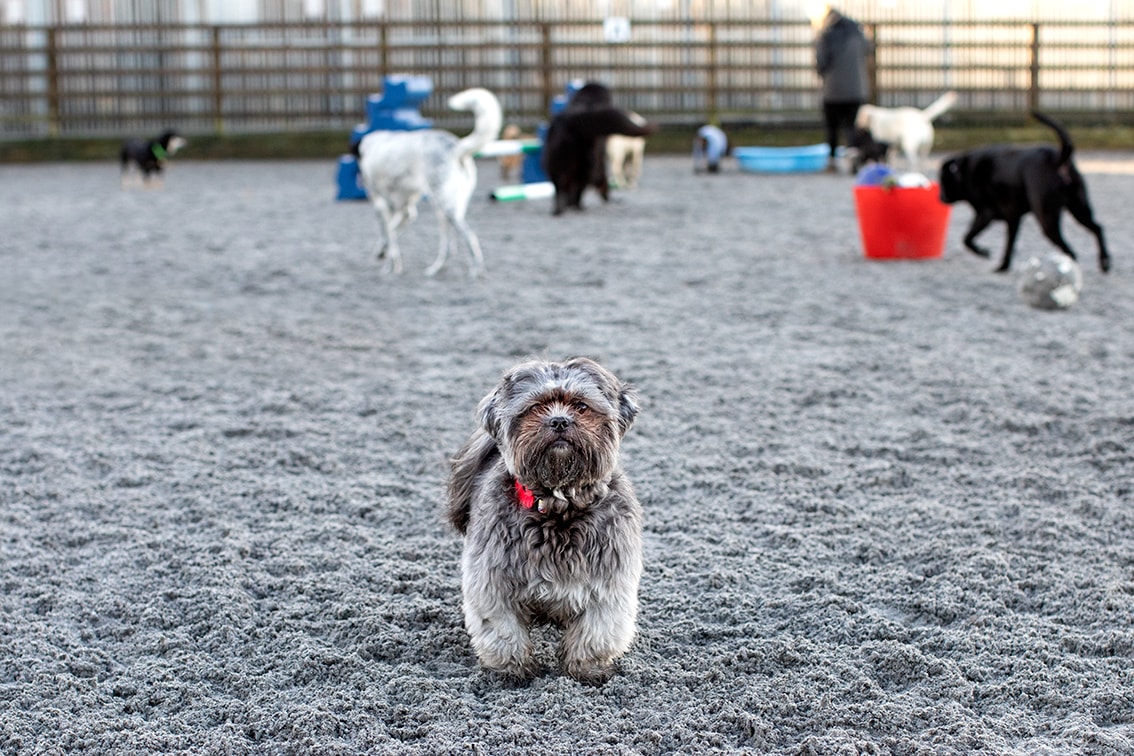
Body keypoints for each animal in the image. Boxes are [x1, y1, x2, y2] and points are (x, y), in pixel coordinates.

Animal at [351, 87, 498, 277]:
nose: (360, 180)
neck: (372, 147)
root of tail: (455, 147)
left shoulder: (383, 205)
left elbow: (389, 233)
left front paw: (390, 265)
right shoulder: (405, 210)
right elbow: (391, 232)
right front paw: (384, 253)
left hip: (447, 208)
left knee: (470, 237)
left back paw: (474, 271)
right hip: (443, 208)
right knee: (448, 246)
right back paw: (436, 268)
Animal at [446, 360, 644, 684]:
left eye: (581, 405)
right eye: (535, 406)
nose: (560, 421)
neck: (558, 506)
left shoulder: (608, 583)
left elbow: (596, 631)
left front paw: (588, 670)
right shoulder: (493, 582)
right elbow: (503, 630)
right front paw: (511, 670)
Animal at [542, 82, 657, 215]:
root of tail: (571, 121)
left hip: (556, 162)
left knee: (560, 186)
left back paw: (560, 209)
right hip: (587, 164)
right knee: (578, 186)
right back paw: (577, 206)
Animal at [934, 112, 1111, 275]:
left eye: (942, 180)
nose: (940, 198)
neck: (963, 172)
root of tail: (1057, 158)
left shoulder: (986, 214)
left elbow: (967, 238)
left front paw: (983, 252)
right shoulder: (1013, 218)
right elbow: (1009, 244)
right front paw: (1003, 266)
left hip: (1047, 217)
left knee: (1069, 250)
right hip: (1079, 209)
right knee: (1098, 228)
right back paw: (1104, 262)